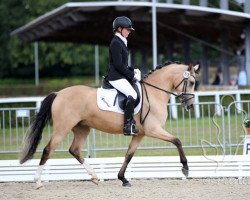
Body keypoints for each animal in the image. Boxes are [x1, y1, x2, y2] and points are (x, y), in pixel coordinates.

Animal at [19, 62, 199, 189]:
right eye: (190, 82)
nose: (190, 106)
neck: (154, 93)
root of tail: (58, 93)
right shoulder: (153, 130)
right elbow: (177, 141)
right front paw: (185, 168)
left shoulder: (140, 134)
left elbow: (128, 155)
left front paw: (123, 179)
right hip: (62, 128)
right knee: (48, 150)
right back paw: (38, 182)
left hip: (82, 128)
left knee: (75, 150)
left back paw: (94, 177)